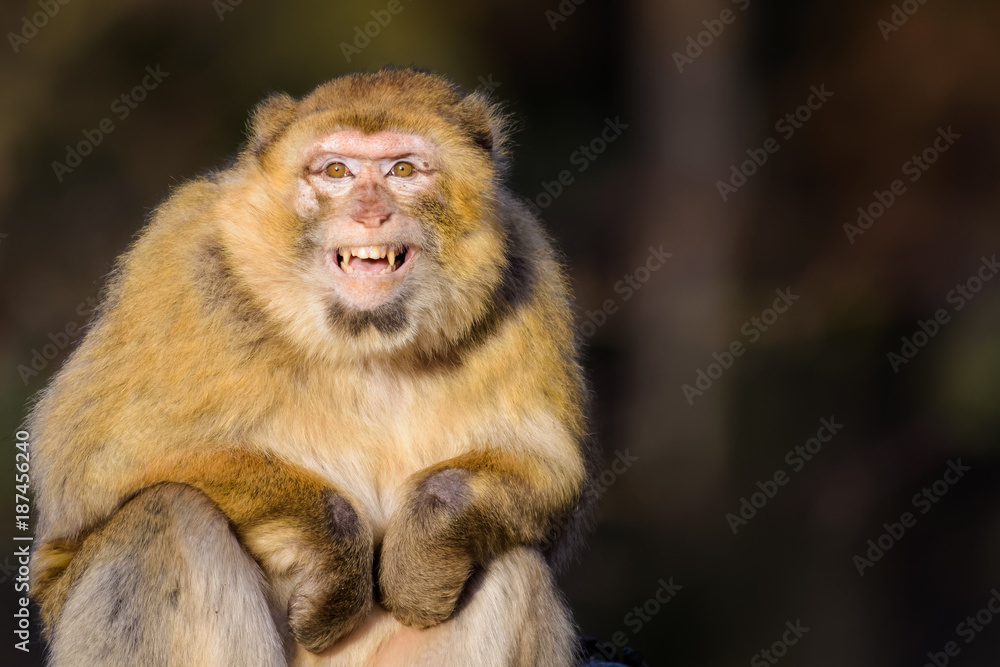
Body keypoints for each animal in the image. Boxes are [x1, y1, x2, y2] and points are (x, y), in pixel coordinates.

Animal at [28, 66, 597, 667]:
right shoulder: (182, 262)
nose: (369, 213)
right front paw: (334, 556)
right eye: (336, 171)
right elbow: (93, 464)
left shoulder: (527, 266)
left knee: (516, 562)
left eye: (402, 170)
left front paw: (422, 554)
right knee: (166, 513)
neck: (363, 341)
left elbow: (549, 475)